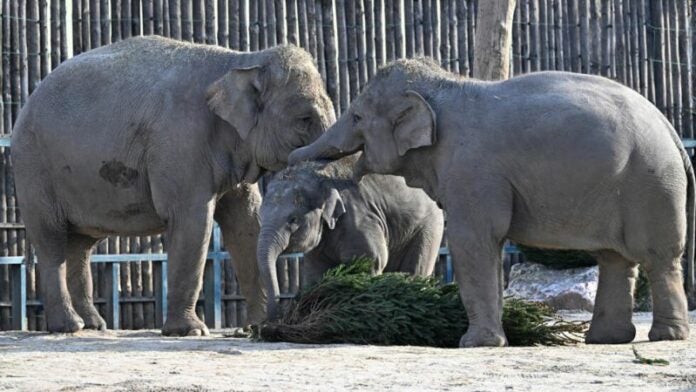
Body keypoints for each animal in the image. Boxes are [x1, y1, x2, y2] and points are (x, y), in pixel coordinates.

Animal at [12, 36, 336, 336]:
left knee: (81, 244)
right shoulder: (181, 142)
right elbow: (193, 222)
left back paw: (94, 325)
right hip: (34, 168)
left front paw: (256, 327)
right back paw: (69, 326)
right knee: (51, 238)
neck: (243, 60)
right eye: (304, 119)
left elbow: (245, 223)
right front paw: (191, 331)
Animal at [256, 153, 446, 318]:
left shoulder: (359, 218)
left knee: (415, 269)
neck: (320, 178)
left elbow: (371, 261)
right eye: (260, 216)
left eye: (293, 220)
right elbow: (316, 273)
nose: (275, 319)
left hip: (429, 226)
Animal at [290, 58, 696, 346]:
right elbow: (486, 244)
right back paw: (605, 339)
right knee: (615, 258)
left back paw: (666, 336)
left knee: (657, 256)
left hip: (651, 184)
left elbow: (474, 239)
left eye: (357, 116)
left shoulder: (471, 170)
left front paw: (475, 344)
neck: (446, 83)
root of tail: (670, 128)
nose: (296, 156)